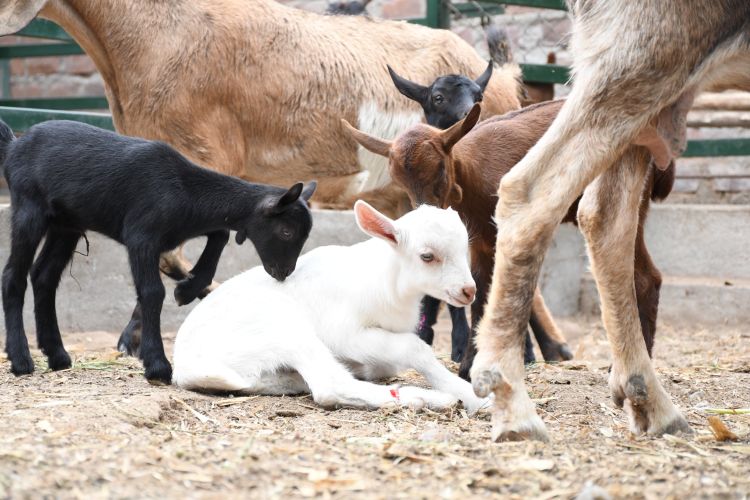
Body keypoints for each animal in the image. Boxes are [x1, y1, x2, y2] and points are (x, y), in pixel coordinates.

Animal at [0, 118, 315, 384]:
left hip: (66, 224)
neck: (185, 189)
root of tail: (14, 145)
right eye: (286, 232)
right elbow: (152, 292)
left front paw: (188, 289)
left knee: (44, 276)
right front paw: (157, 365)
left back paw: (57, 355)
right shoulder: (141, 236)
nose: (284, 272)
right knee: (13, 276)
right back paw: (21, 359)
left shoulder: (184, 226)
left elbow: (221, 233)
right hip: (30, 208)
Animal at [173, 201, 488, 414]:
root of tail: (187, 366)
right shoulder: (344, 333)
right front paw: (472, 395)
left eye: (465, 249)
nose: (468, 291)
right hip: (283, 328)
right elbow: (415, 348)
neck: (387, 282)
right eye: (427, 256)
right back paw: (428, 399)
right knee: (329, 386)